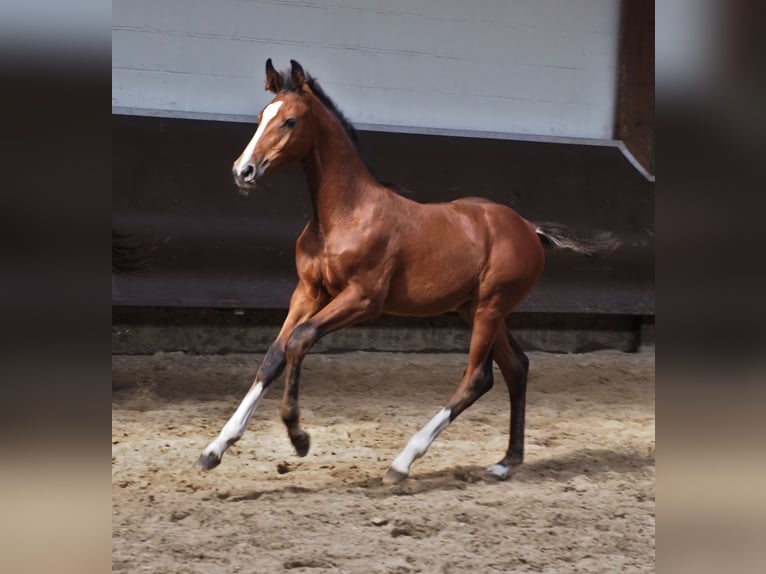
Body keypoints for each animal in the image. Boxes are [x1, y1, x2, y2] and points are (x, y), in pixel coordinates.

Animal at [198, 59, 616, 486]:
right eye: (261, 117)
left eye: (290, 121)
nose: (243, 171)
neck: (346, 213)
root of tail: (529, 228)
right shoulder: (309, 290)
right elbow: (274, 355)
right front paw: (215, 448)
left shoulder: (363, 299)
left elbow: (300, 340)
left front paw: (299, 438)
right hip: (475, 308)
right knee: (516, 367)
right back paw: (506, 462)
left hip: (490, 308)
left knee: (478, 378)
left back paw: (402, 463)